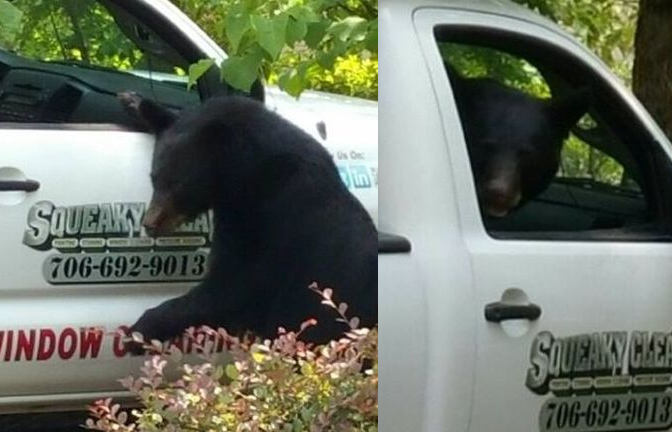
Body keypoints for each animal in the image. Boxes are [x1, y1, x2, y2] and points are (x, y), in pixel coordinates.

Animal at [117, 92, 376, 352]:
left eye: (179, 185)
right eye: (154, 178)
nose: (150, 223)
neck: (250, 175)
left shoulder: (280, 216)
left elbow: (238, 282)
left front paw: (139, 331)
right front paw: (134, 101)